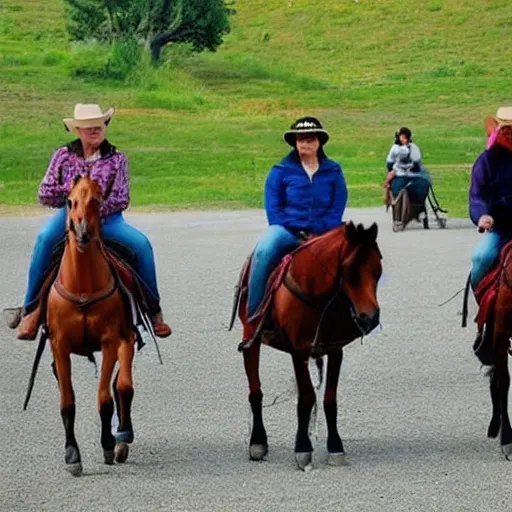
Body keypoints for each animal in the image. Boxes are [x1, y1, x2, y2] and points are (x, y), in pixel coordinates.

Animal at [38, 179, 137, 476]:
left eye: (97, 200)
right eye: (69, 202)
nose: (82, 233)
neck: (83, 286)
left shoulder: (109, 341)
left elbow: (105, 397)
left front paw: (107, 445)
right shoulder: (59, 346)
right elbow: (67, 402)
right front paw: (72, 454)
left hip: (126, 340)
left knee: (123, 385)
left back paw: (122, 436)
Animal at [230, 222, 382, 470]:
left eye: (378, 268)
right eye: (350, 271)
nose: (370, 318)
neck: (315, 292)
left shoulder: (335, 350)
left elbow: (329, 400)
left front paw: (335, 446)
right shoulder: (298, 351)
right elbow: (307, 398)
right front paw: (302, 448)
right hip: (251, 337)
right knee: (255, 390)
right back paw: (257, 442)